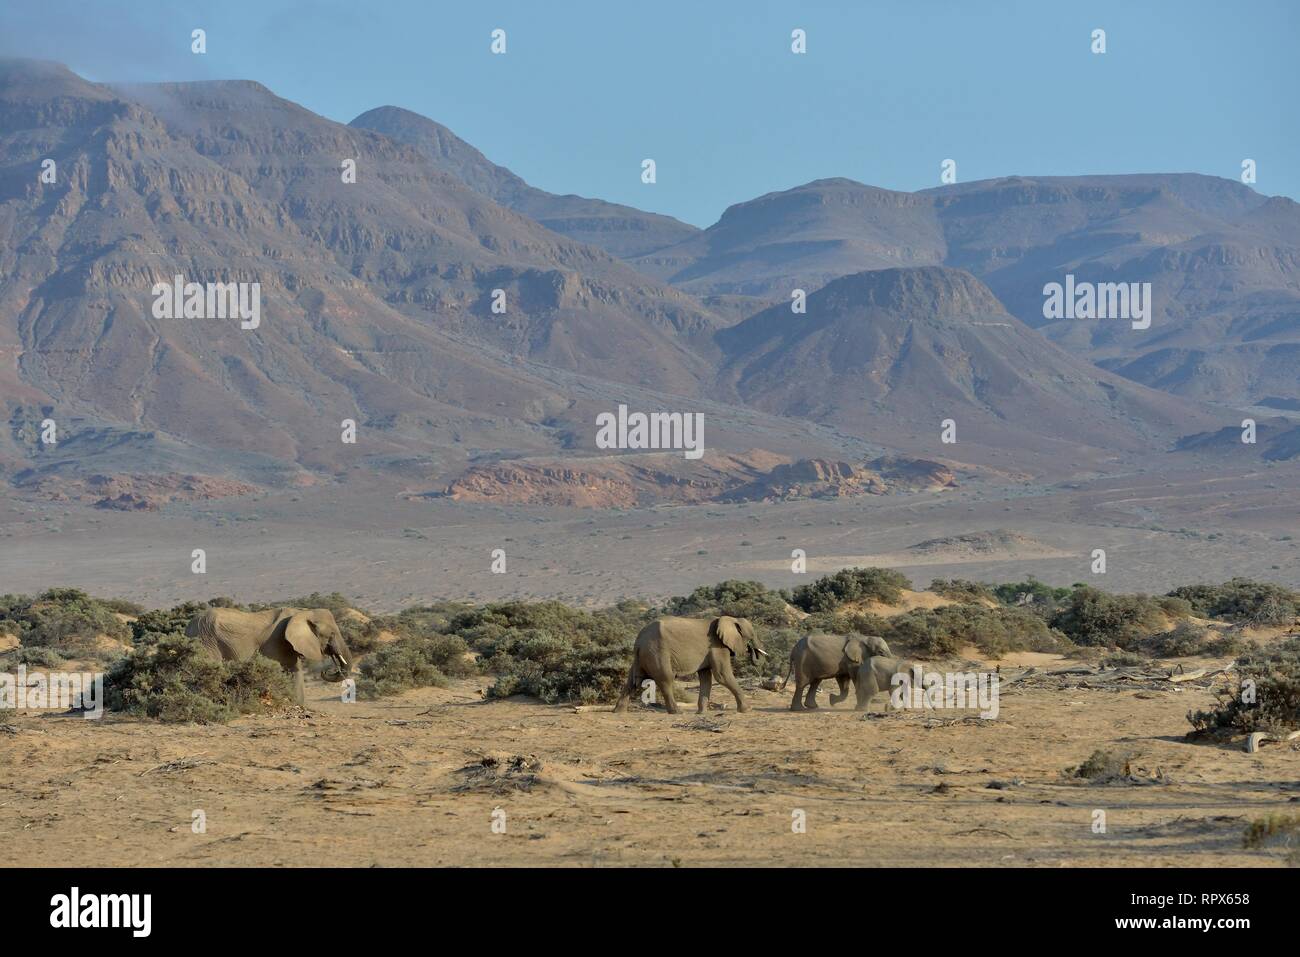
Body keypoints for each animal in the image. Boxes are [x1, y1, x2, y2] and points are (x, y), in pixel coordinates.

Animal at [185, 605, 353, 702]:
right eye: (331, 634)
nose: (326, 670)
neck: (302, 612)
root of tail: (188, 626)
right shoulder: (275, 642)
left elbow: (295, 672)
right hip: (205, 640)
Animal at [611, 616, 764, 712]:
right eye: (751, 636)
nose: (752, 650)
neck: (730, 619)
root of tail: (638, 641)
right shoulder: (717, 646)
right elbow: (722, 676)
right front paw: (747, 710)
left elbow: (706, 678)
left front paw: (701, 713)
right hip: (657, 652)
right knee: (666, 679)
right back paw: (677, 712)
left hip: (644, 656)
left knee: (632, 681)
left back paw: (618, 711)